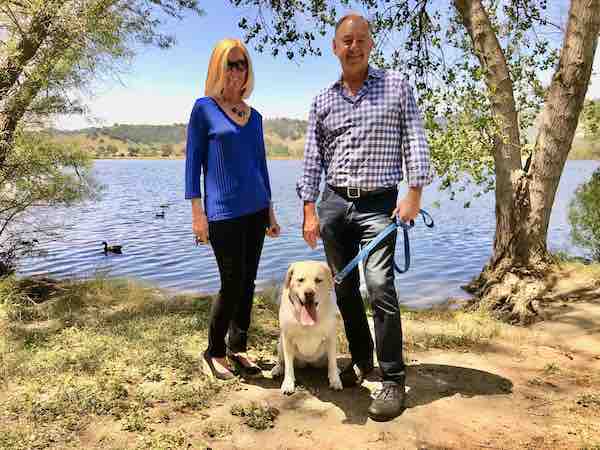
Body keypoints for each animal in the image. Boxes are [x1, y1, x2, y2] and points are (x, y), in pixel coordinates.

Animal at [272, 260, 342, 394]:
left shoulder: (331, 337)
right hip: (280, 343)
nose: (309, 293)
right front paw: (288, 384)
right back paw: (277, 369)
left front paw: (335, 380)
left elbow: (332, 362)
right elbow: (288, 366)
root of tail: (308, 363)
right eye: (300, 280)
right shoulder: (287, 339)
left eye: (318, 280)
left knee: (329, 362)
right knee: (282, 361)